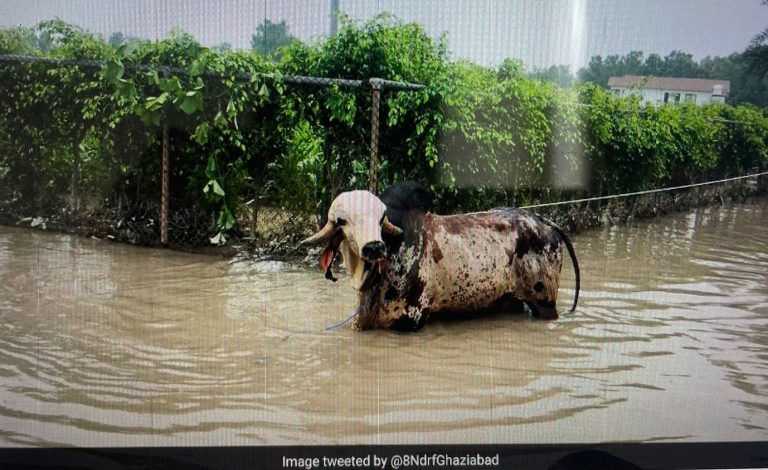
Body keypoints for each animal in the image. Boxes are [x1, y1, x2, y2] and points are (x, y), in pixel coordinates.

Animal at [300, 182, 580, 331]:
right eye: (342, 221)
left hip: (544, 303)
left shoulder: (410, 320)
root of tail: (543, 220)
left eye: (381, 219)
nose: (374, 247)